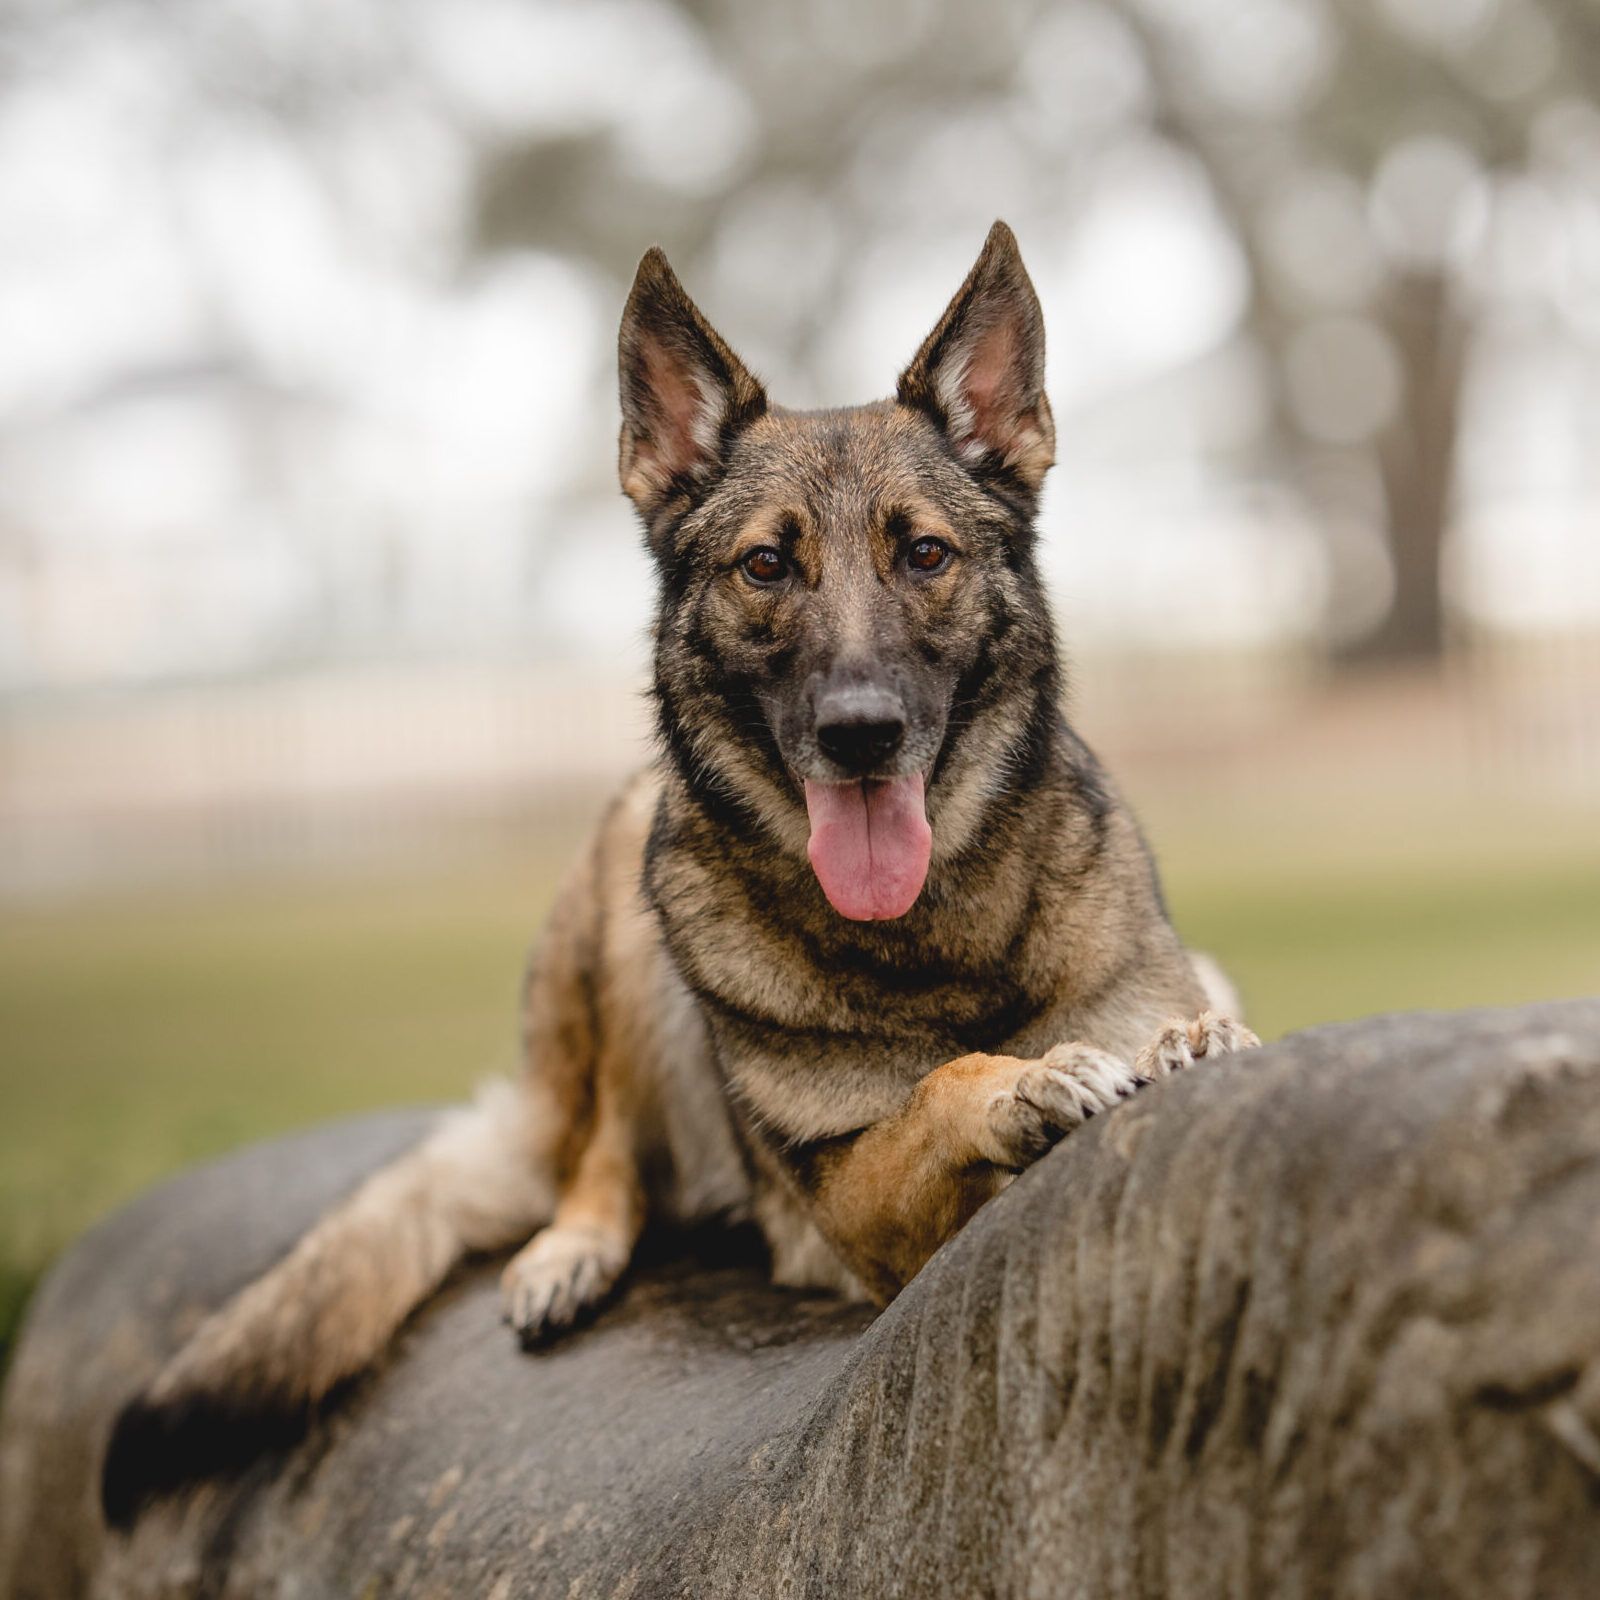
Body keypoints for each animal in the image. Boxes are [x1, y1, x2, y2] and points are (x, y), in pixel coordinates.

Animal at [103, 225, 1260, 1523]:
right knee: (603, 1148)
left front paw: (1187, 1041)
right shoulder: (849, 1211)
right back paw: (570, 1250)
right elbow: (934, 1089)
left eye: (924, 553)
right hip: (624, 882)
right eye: (766, 566)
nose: (860, 733)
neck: (932, 936)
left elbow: (1173, 1024)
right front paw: (1024, 1080)